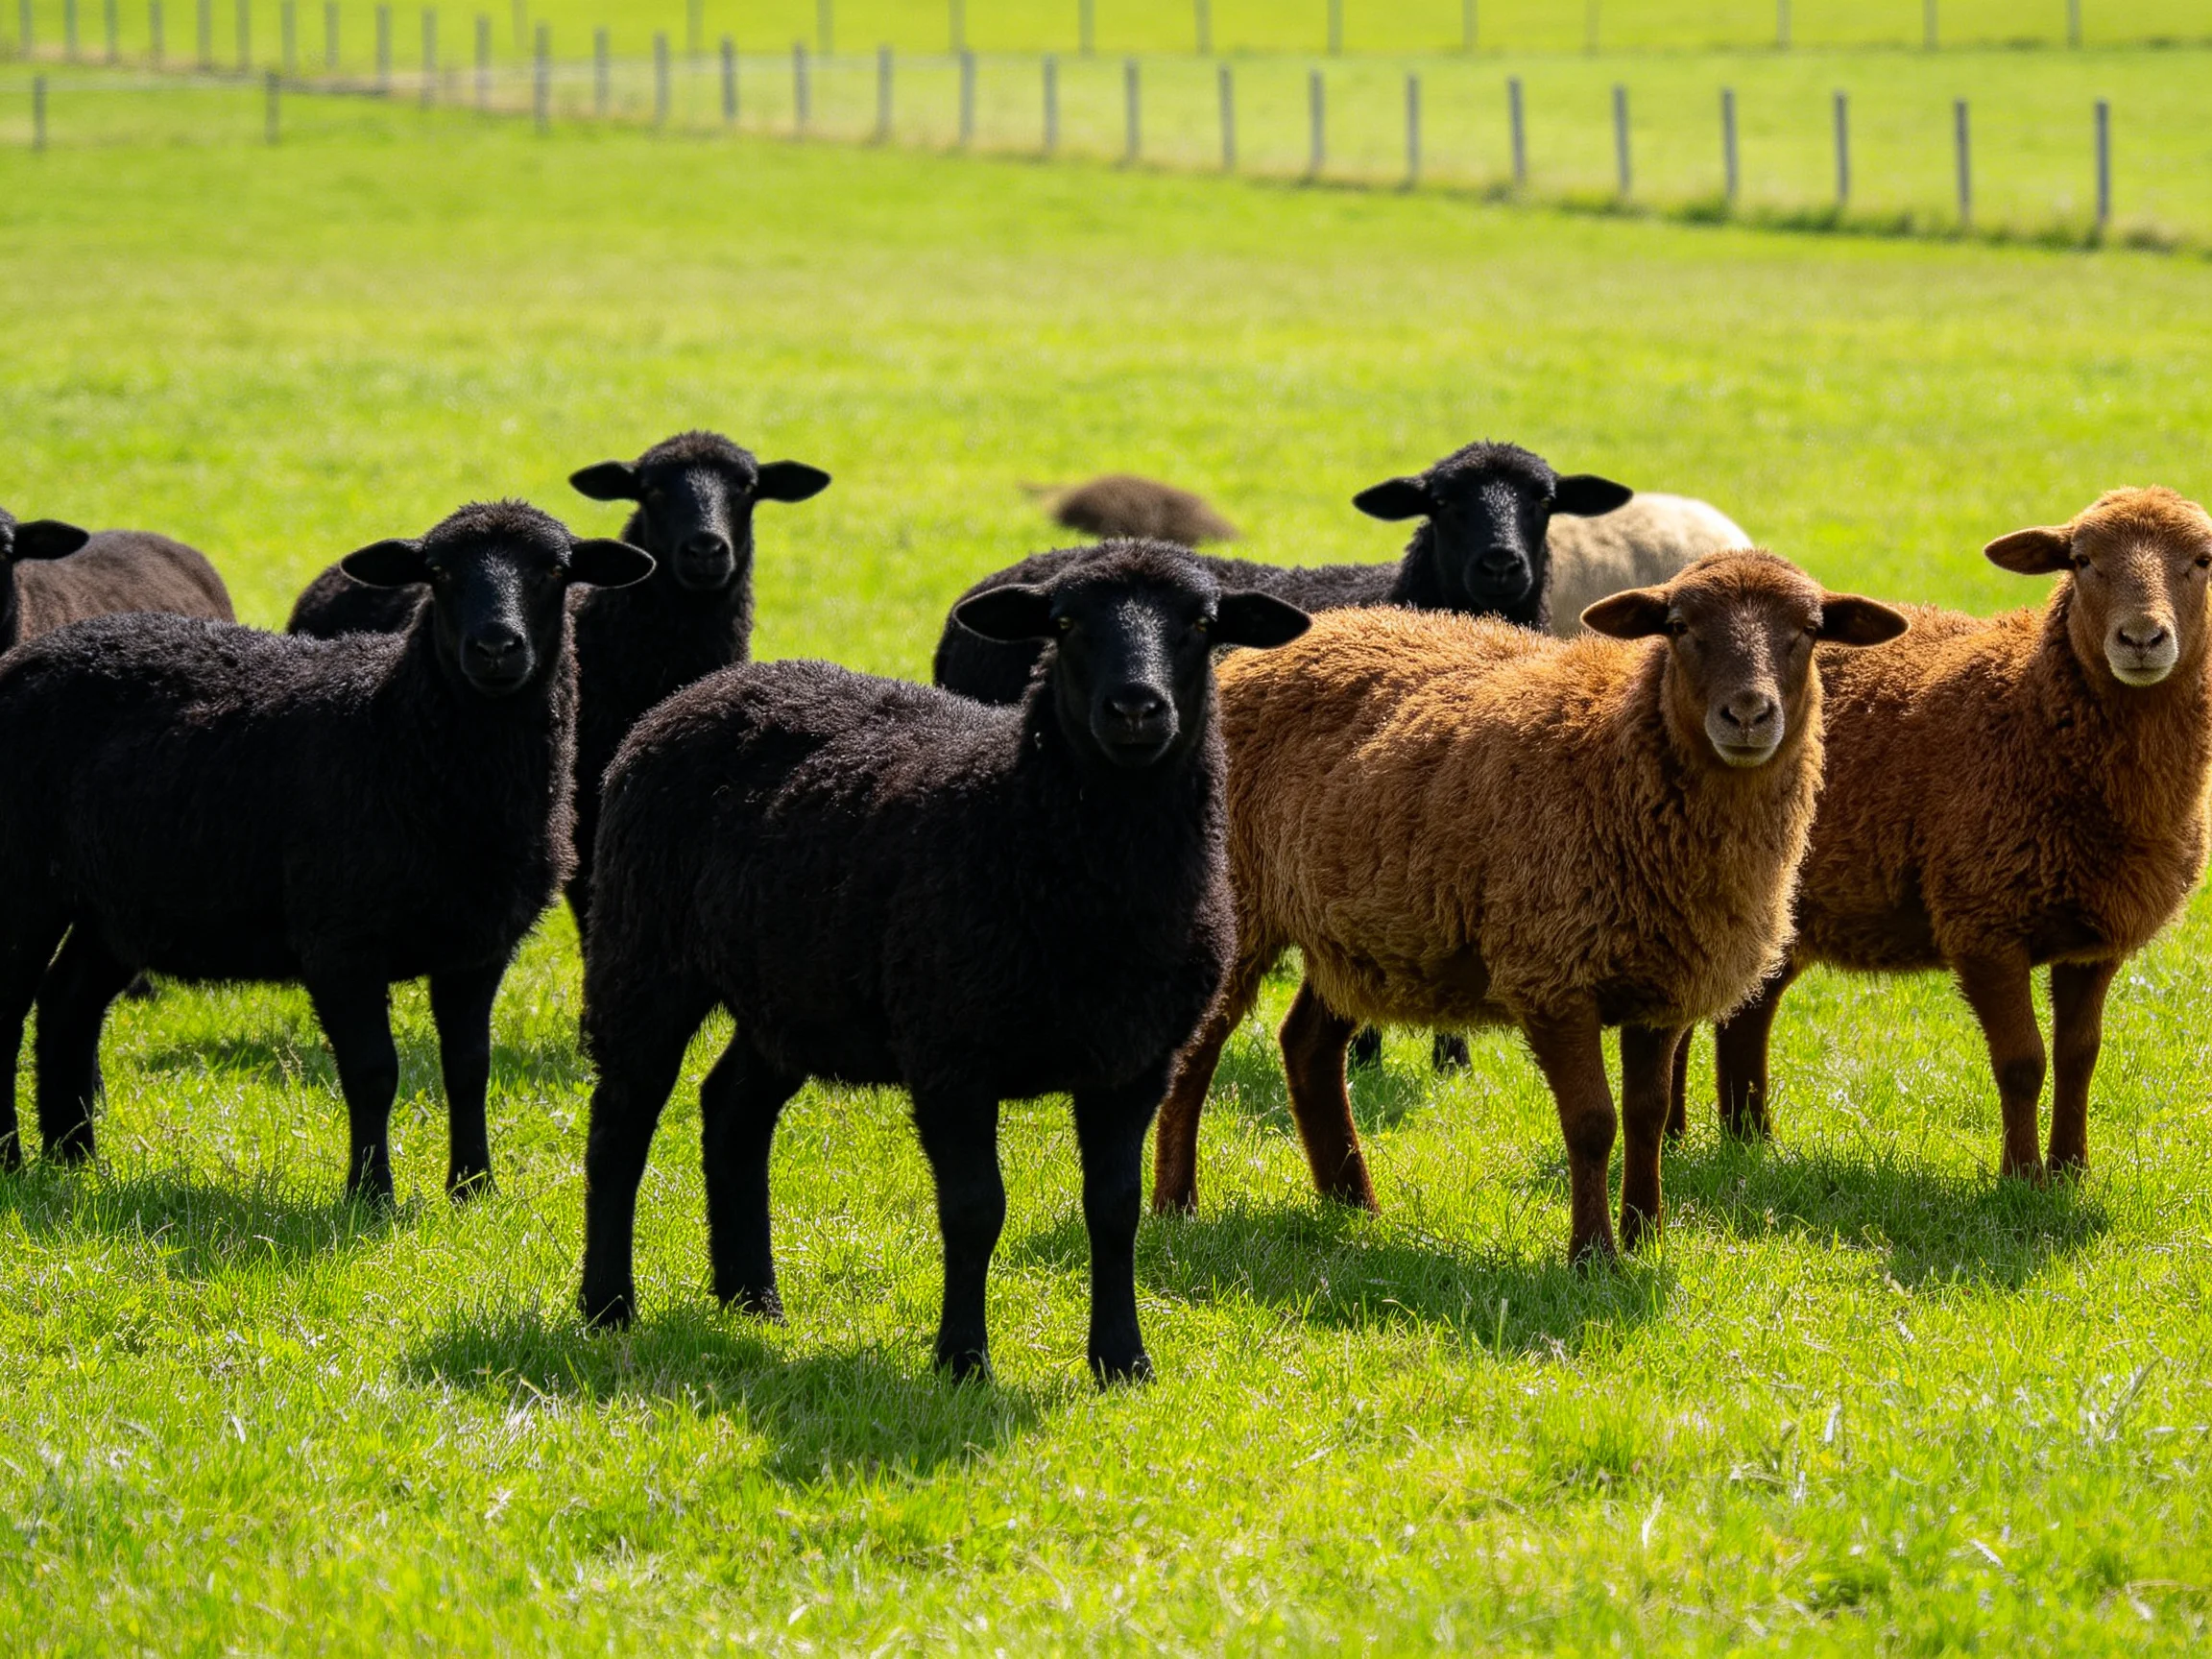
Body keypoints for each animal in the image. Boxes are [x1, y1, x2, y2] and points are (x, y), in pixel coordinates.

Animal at [575, 539, 1309, 1382]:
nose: (1135, 708)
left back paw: (752, 1299)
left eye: (1202, 623)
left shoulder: (1135, 1065)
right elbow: (974, 1210)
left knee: (733, 1110)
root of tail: (698, 691)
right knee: (620, 1124)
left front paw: (1123, 1361)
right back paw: (607, 1305)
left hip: (790, 994)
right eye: (1064, 624)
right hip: (641, 953)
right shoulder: (950, 1054)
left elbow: (1115, 1210)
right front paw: (963, 1360)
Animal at [1148, 551, 1908, 1262]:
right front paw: (1593, 1257)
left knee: (1307, 1047)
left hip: (1358, 933)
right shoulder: (1552, 974)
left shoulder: (1665, 982)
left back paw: (1353, 1206)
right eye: (1679, 626)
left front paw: (1646, 1236)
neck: (1614, 754)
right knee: (1195, 1053)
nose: (1748, 715)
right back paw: (1175, 1205)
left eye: (1808, 631)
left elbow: (1648, 1114)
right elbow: (1594, 1123)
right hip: (1240, 907)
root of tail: (1266, 656)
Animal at [1707, 487, 2212, 1180]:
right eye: (2081, 560)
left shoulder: (2095, 937)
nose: (2141, 639)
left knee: (1747, 1010)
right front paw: (2022, 1178)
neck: (2029, 713)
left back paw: (1748, 1142)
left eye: (2204, 560)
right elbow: (2023, 1062)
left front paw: (2071, 1170)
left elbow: (2080, 1056)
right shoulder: (1983, 923)